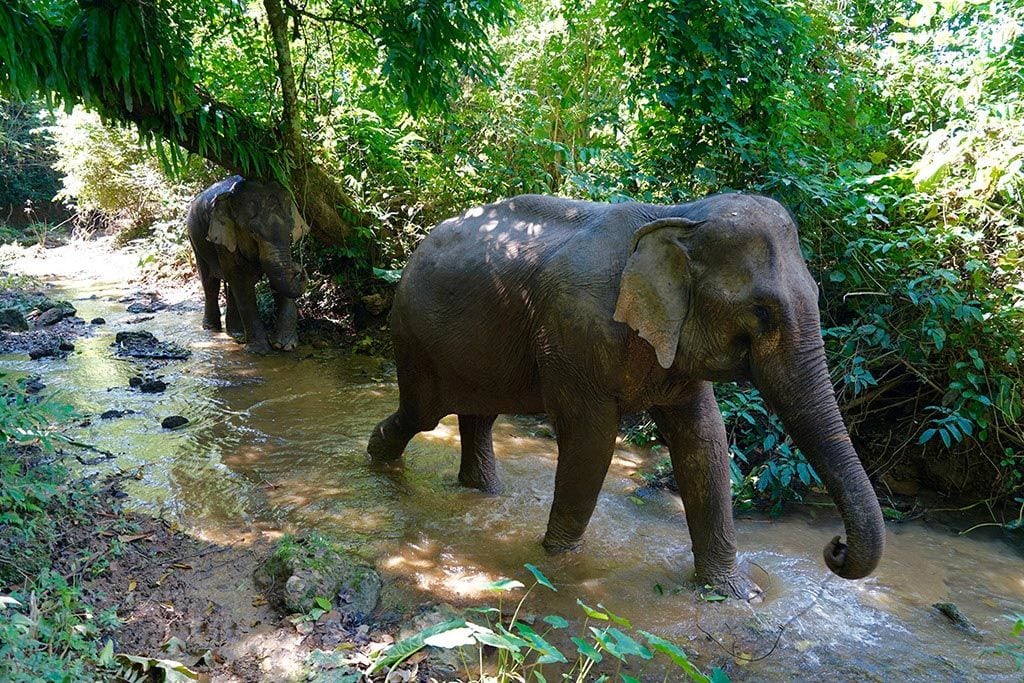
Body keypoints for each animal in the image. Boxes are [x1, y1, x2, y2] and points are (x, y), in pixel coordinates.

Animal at [187, 176, 310, 354]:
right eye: (253, 232)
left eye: (290, 230)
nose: (299, 269)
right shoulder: (224, 238)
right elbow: (241, 281)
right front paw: (259, 351)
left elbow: (273, 279)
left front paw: (285, 345)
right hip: (195, 242)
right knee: (210, 284)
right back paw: (211, 329)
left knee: (230, 286)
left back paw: (236, 333)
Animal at [367, 192, 885, 600]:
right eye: (761, 311)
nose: (836, 548)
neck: (678, 215)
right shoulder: (573, 335)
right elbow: (592, 441)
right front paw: (558, 565)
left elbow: (704, 441)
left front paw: (736, 593)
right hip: (414, 335)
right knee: (423, 414)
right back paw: (376, 459)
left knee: (480, 416)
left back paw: (481, 493)